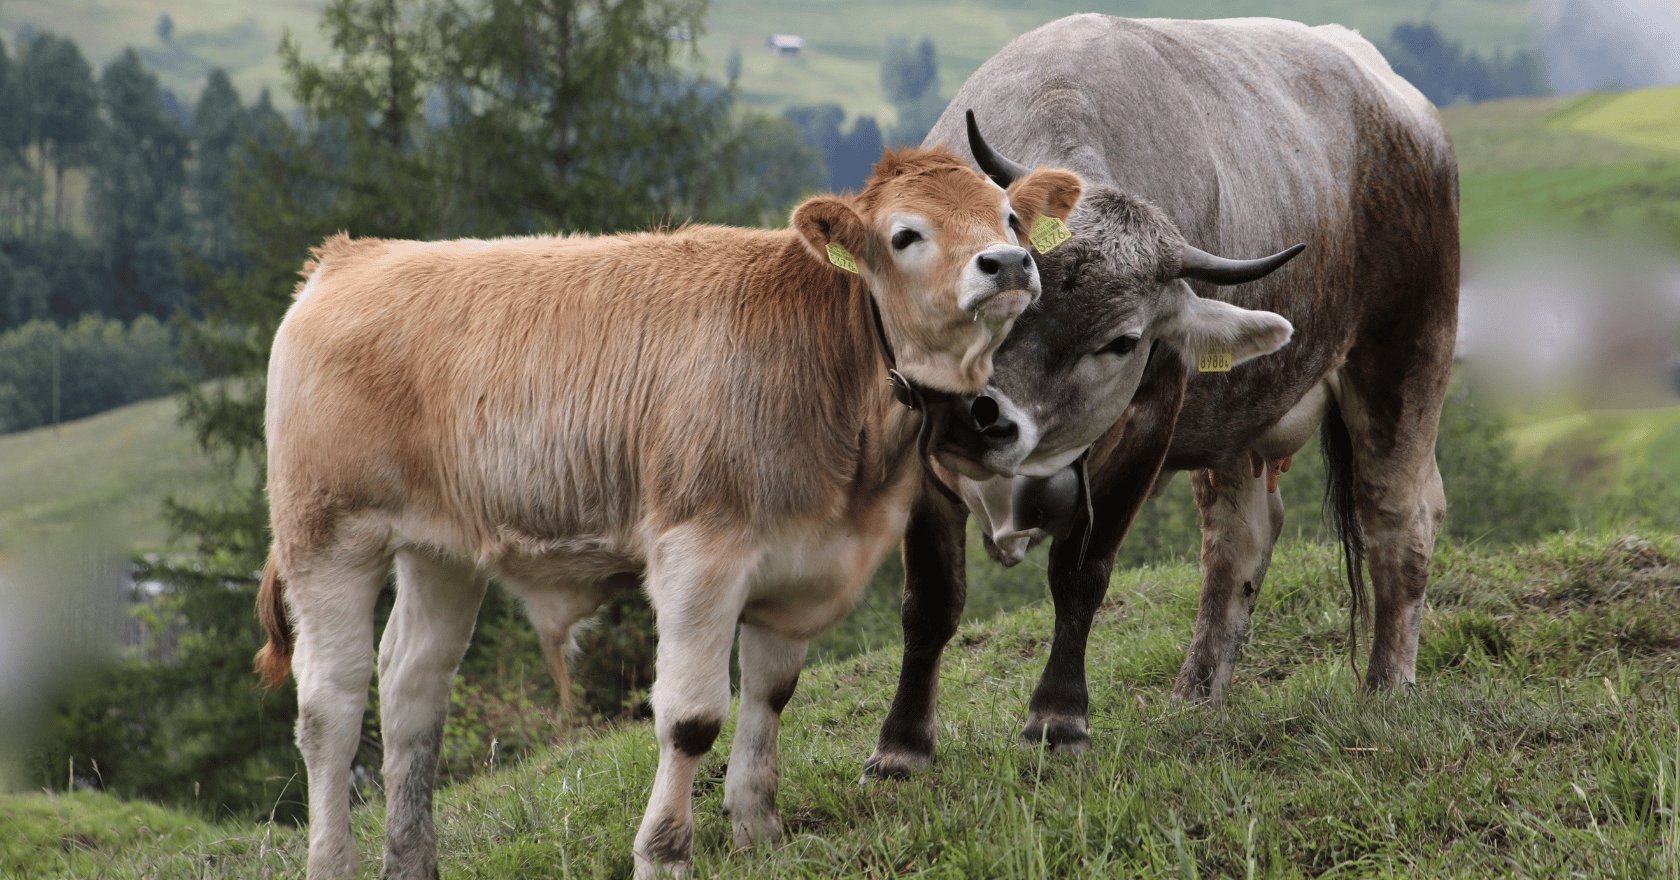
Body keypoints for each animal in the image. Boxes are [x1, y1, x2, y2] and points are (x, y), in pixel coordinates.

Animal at [866, 10, 1458, 772]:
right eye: (1010, 284)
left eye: (1123, 341)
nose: (985, 420)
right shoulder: (917, 428)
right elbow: (931, 601)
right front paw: (902, 746)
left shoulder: (1145, 427)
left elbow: (1080, 573)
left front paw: (1059, 718)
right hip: (1236, 424)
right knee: (1239, 541)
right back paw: (1197, 694)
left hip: (1406, 355)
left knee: (1396, 518)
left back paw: (1386, 686)